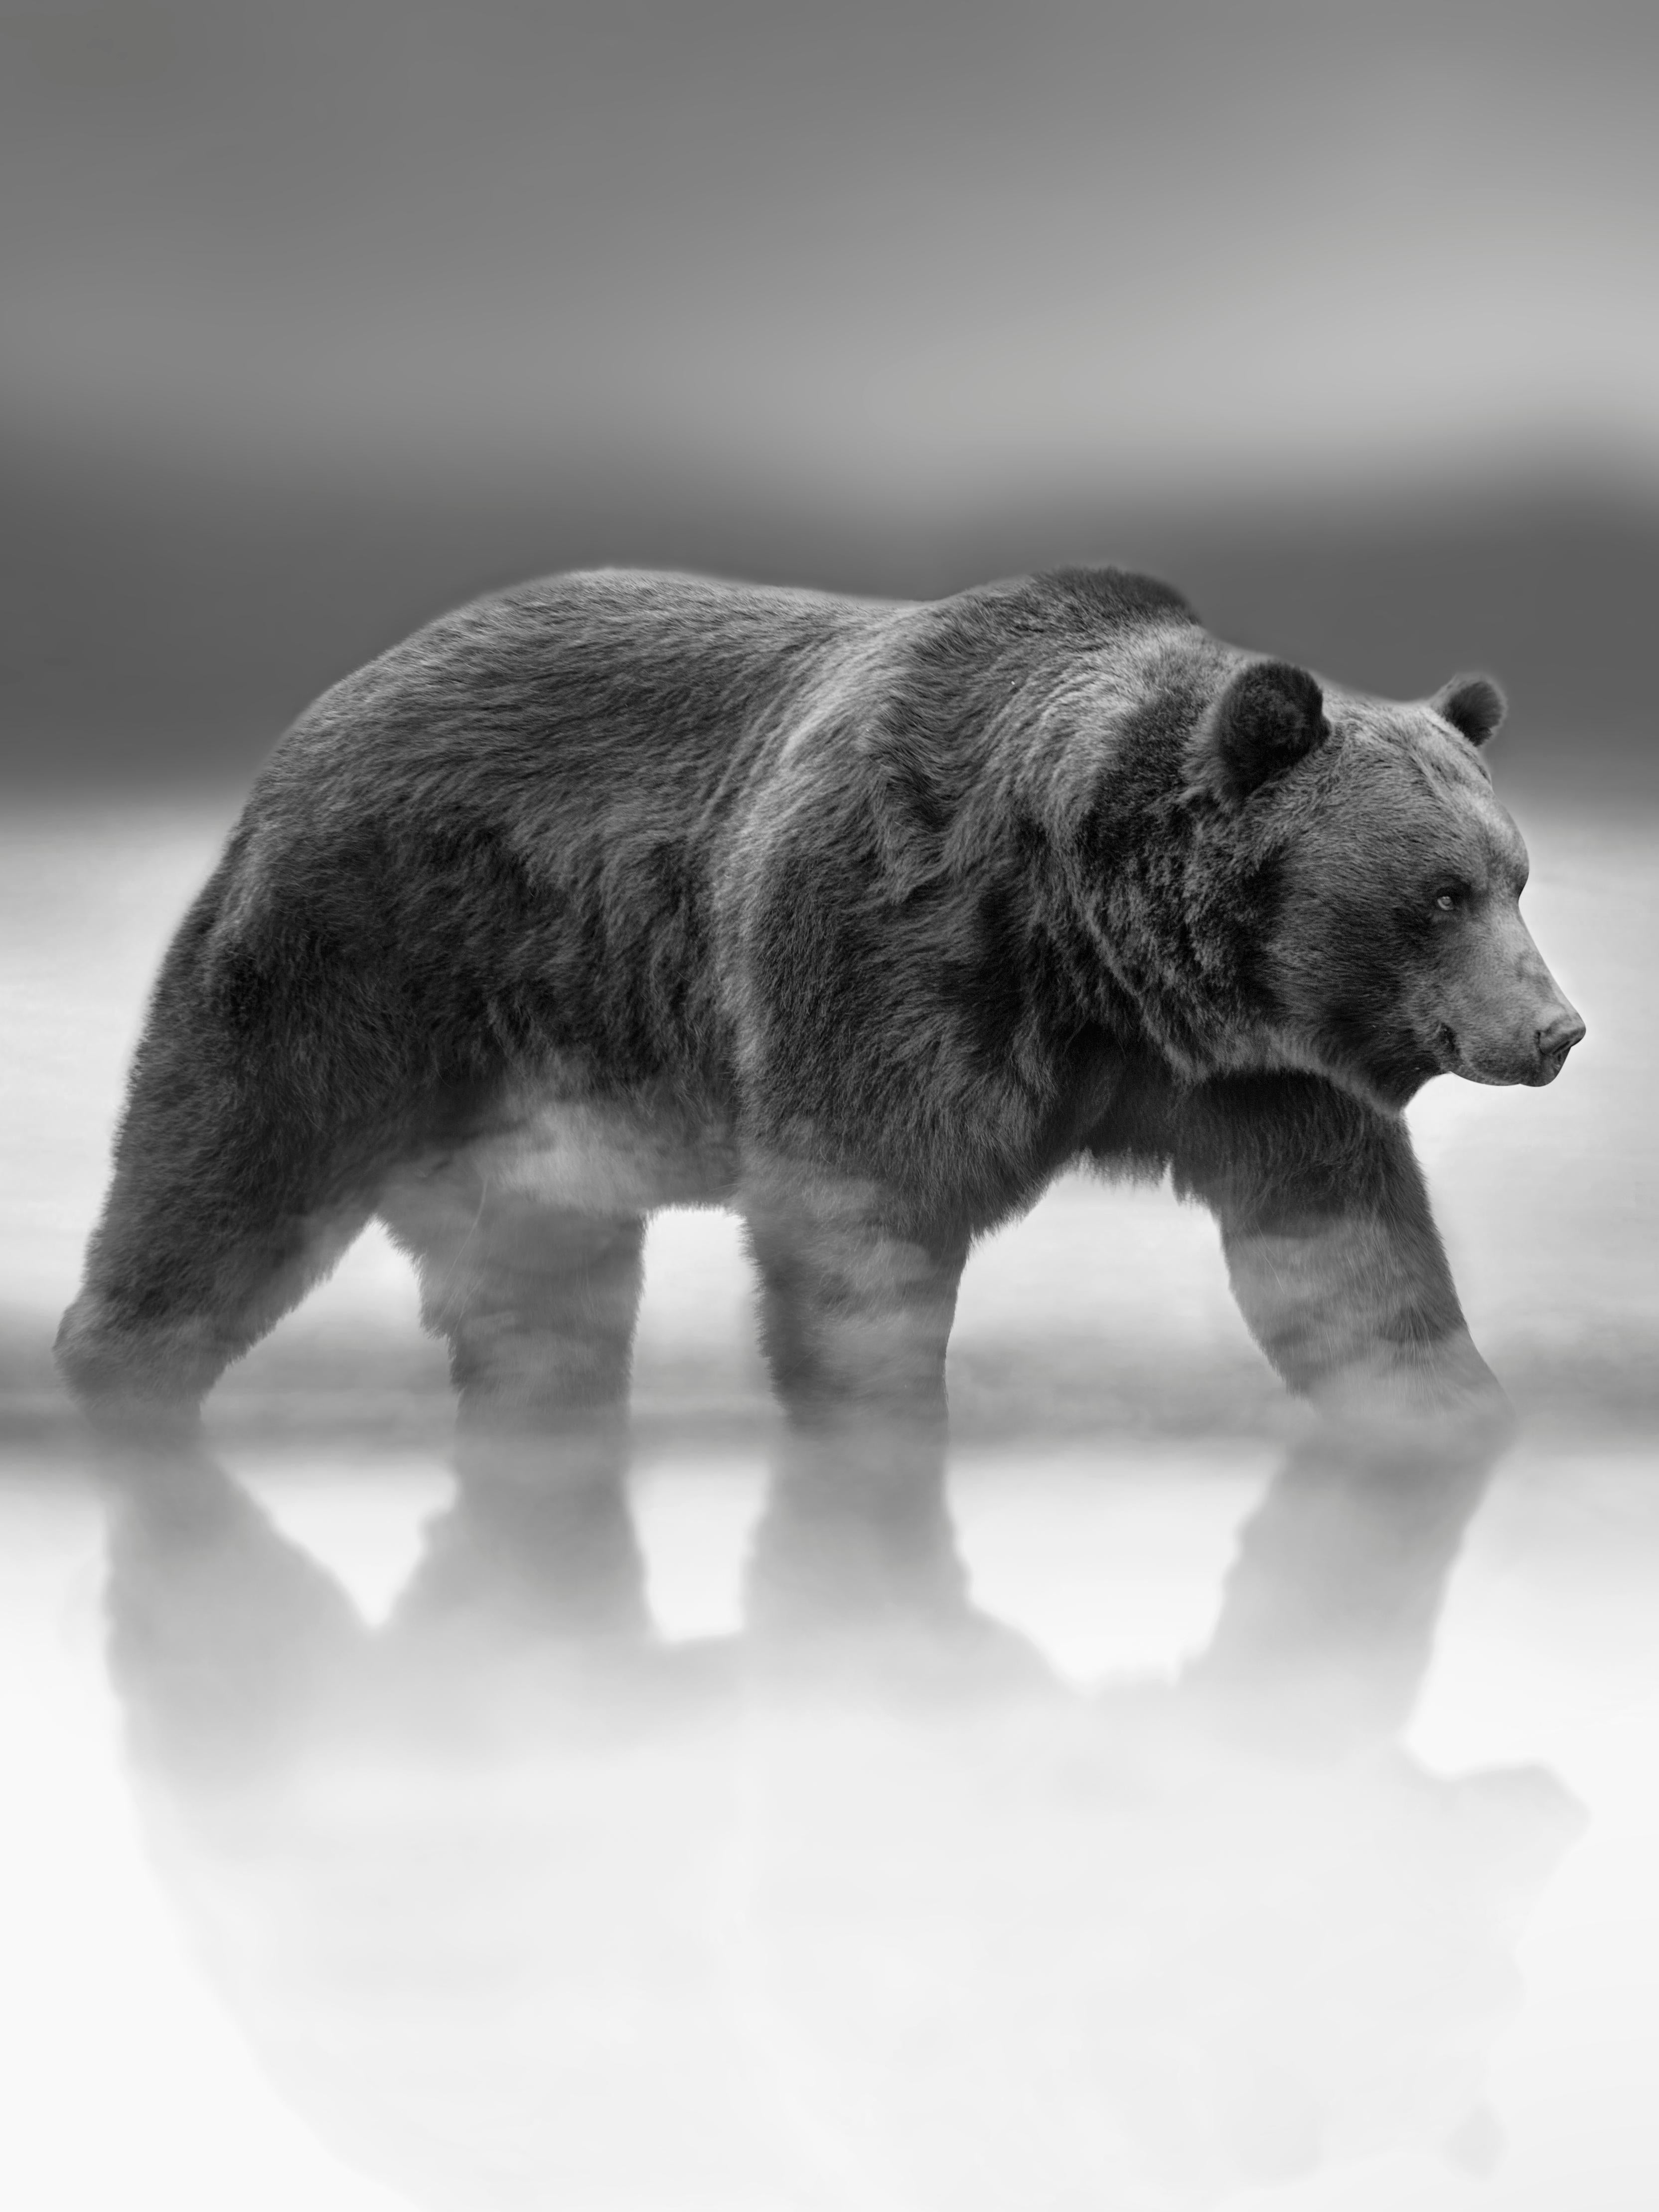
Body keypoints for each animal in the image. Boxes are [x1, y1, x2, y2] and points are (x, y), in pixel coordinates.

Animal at [56, 564, 1584, 1627]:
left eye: (1515, 874)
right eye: (1437, 892)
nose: (1553, 1029)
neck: (1095, 954)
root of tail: (311, 722)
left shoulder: (1245, 1070)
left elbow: (1346, 1261)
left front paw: (1454, 1410)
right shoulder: (886, 967)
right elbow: (863, 1244)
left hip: (531, 1110)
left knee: (541, 1301)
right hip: (357, 968)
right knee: (221, 1184)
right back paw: (121, 1379)